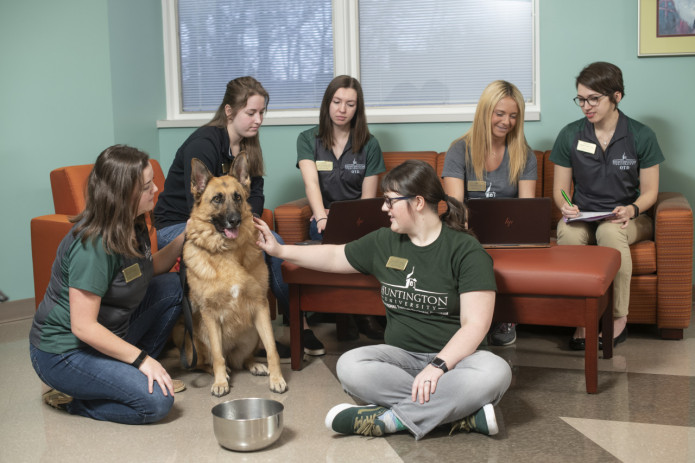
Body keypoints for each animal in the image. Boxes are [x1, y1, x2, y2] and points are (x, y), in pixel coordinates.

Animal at [179, 154, 288, 396]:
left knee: (243, 359)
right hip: (196, 341)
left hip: (252, 334)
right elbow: (218, 356)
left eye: (238, 197)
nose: (235, 220)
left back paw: (255, 365)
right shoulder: (209, 315)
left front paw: (277, 378)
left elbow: (271, 349)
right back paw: (223, 372)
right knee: (210, 361)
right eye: (217, 199)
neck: (227, 251)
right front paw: (220, 382)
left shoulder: (261, 306)